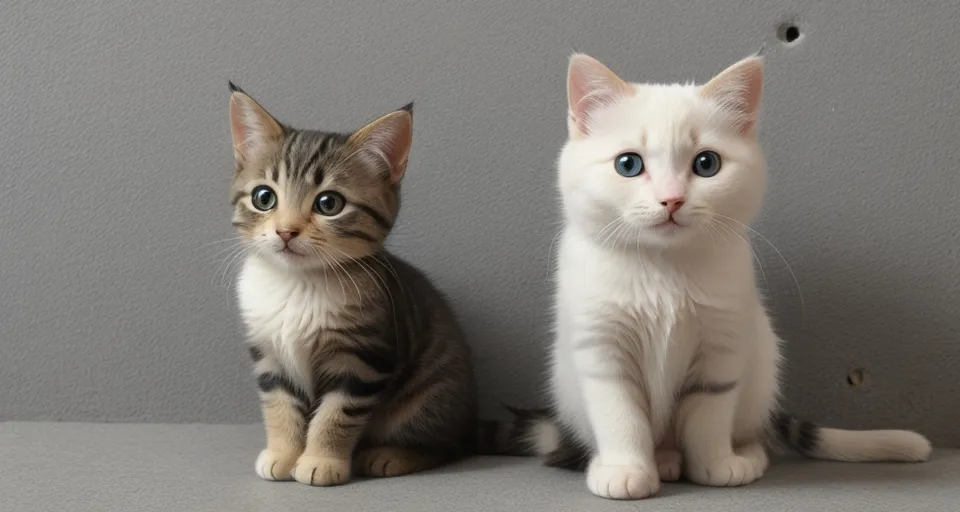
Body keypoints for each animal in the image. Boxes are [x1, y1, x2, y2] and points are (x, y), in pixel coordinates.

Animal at [226, 82, 480, 486]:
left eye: (329, 203)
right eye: (263, 197)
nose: (286, 231)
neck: (298, 284)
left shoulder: (363, 359)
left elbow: (336, 415)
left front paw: (320, 461)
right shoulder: (269, 355)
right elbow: (279, 407)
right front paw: (283, 453)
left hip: (431, 396)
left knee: (447, 447)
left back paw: (389, 456)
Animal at [496, 54, 928, 498]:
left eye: (707, 164)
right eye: (628, 164)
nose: (671, 199)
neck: (664, 269)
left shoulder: (722, 344)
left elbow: (708, 416)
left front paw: (716, 464)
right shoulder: (602, 347)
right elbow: (621, 415)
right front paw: (625, 469)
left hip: (762, 363)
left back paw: (740, 454)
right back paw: (650, 460)